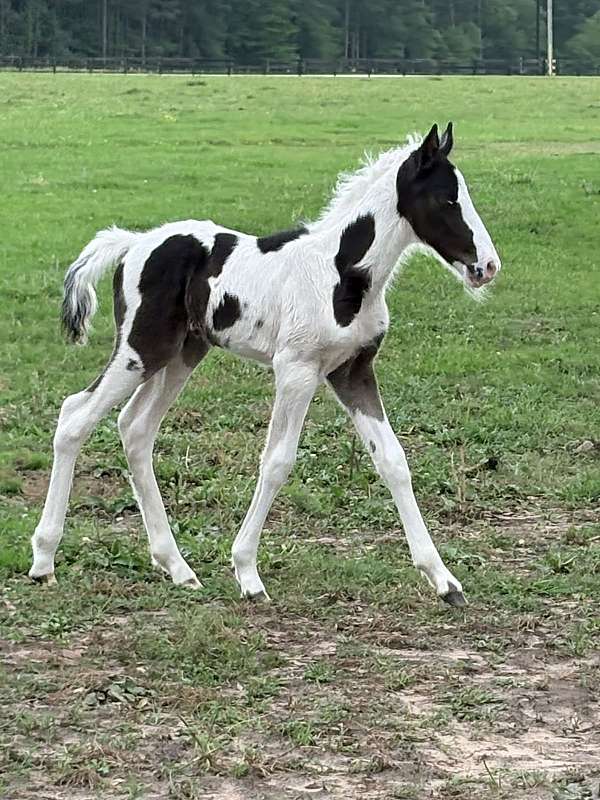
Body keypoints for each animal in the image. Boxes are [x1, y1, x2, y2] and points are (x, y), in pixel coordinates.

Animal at [30, 123, 501, 606]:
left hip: (182, 353)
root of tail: (132, 243)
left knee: (135, 428)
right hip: (140, 349)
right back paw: (44, 560)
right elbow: (277, 461)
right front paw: (247, 573)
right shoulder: (296, 370)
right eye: (446, 200)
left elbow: (393, 460)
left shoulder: (352, 371)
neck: (339, 273)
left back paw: (177, 567)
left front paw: (444, 580)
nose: (487, 266)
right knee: (75, 416)